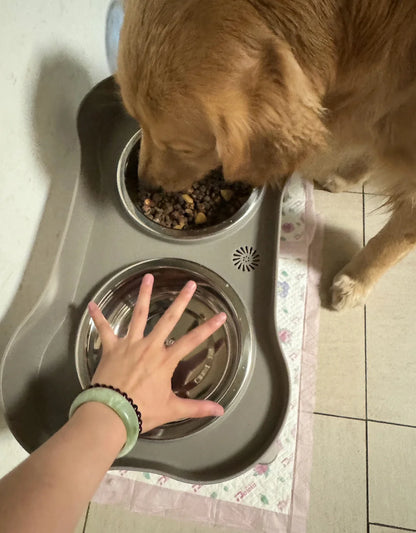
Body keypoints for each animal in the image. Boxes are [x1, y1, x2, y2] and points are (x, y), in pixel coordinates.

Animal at [115, 0, 416, 310]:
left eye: (183, 148)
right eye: (136, 119)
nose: (145, 185)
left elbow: (395, 238)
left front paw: (356, 282)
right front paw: (348, 175)